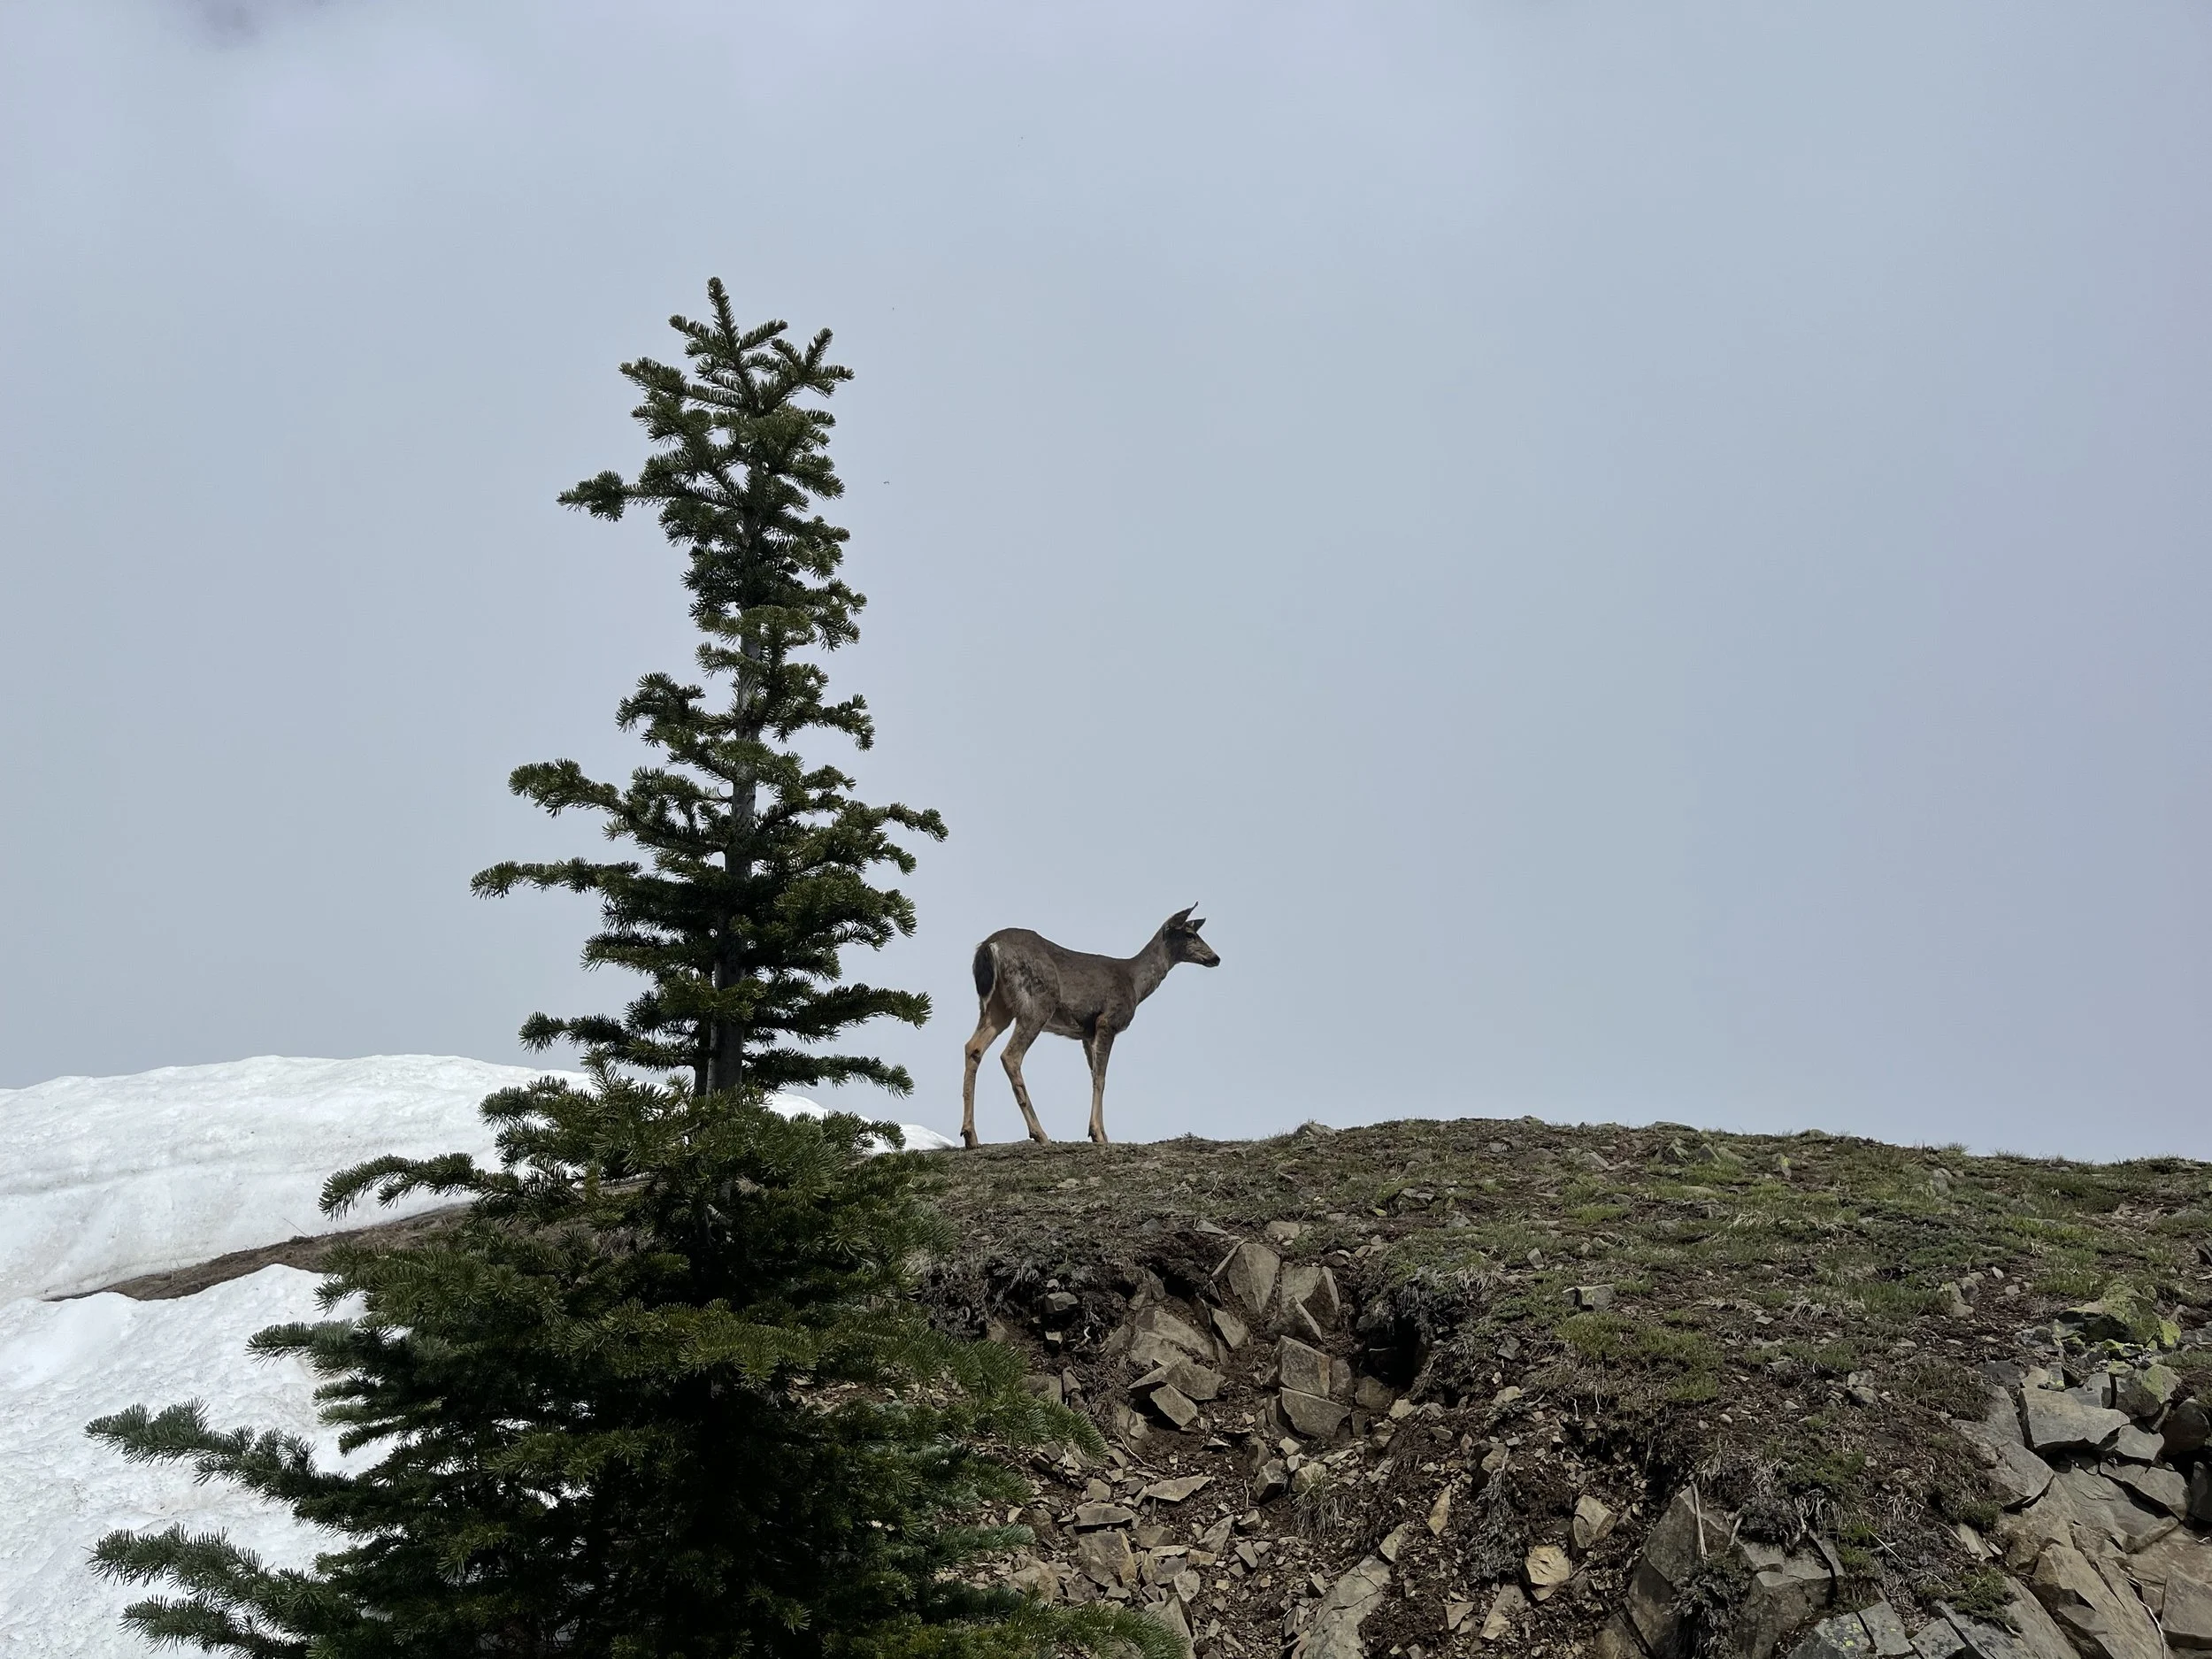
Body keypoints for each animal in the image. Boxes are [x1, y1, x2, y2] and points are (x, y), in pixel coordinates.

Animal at [960, 906, 1220, 1147]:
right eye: (1189, 934)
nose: (1216, 958)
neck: (1135, 983)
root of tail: (989, 946)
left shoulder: (1087, 1034)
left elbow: (1094, 1075)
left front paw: (1101, 1133)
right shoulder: (1107, 1021)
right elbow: (1102, 1078)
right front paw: (1097, 1134)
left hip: (997, 1007)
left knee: (973, 1047)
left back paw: (970, 1135)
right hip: (1037, 1003)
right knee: (1010, 1055)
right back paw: (1040, 1134)